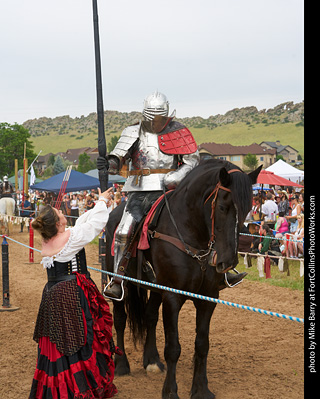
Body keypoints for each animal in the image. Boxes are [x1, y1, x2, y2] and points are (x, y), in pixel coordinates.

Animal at [102, 159, 260, 399]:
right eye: (223, 208)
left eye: (247, 210)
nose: (227, 262)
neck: (192, 233)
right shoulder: (172, 298)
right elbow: (173, 348)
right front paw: (170, 391)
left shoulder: (208, 298)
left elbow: (202, 344)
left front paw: (201, 389)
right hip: (122, 281)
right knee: (120, 317)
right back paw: (121, 364)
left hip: (156, 288)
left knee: (149, 317)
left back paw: (152, 360)